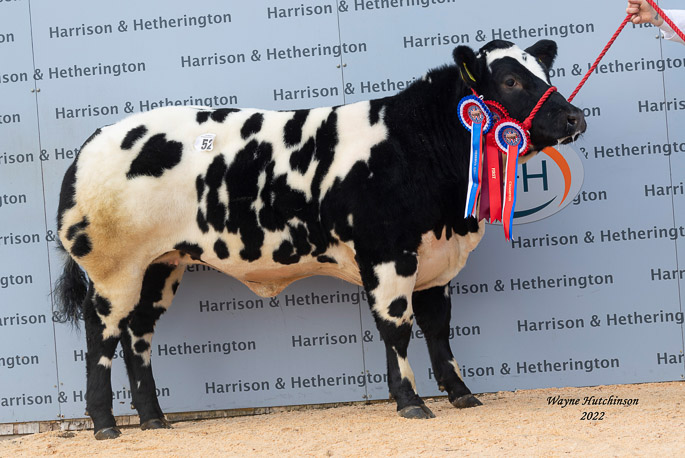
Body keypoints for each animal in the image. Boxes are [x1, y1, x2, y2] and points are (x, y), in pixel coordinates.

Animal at [56, 40, 584, 440]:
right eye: (511, 80)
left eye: (543, 71)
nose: (575, 117)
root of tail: (96, 140)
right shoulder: (387, 254)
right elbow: (397, 327)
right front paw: (410, 401)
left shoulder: (435, 260)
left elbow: (438, 329)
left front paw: (461, 394)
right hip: (113, 269)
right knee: (100, 334)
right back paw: (104, 424)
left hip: (159, 266)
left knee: (138, 336)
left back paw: (154, 419)